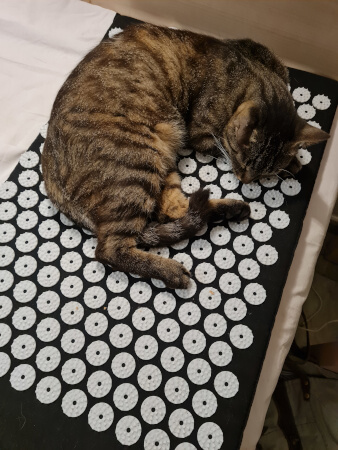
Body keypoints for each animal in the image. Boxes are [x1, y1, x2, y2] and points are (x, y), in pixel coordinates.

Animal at [41, 22, 328, 288]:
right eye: (242, 160)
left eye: (263, 172)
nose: (245, 180)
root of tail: (50, 176)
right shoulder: (203, 134)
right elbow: (219, 145)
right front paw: (293, 163)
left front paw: (293, 162)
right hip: (137, 162)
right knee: (110, 248)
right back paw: (173, 272)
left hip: (160, 163)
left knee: (173, 212)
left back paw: (230, 209)